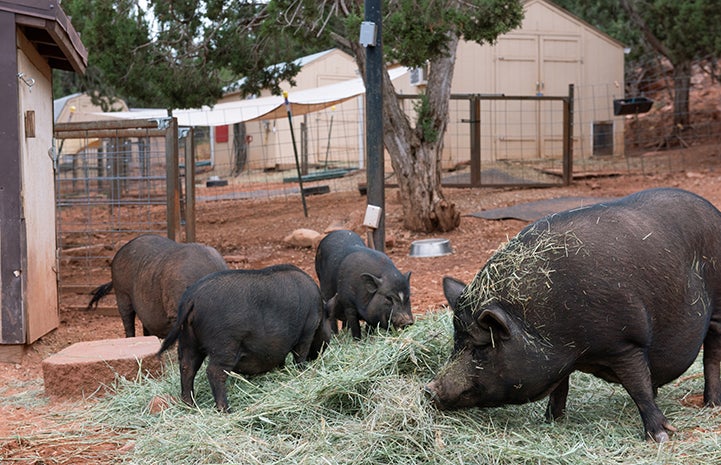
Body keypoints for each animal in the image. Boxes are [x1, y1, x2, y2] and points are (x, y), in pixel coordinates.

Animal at [158, 262, 332, 412]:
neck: (320, 312)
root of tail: (191, 298)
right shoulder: (307, 331)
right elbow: (299, 356)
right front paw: (303, 371)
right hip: (224, 343)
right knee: (214, 371)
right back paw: (226, 410)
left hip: (187, 338)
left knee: (187, 366)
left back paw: (190, 405)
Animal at [424, 188, 720, 442]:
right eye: (456, 342)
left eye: (482, 347)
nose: (429, 389)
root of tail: (713, 210)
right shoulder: (562, 360)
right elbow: (560, 390)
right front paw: (551, 421)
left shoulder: (625, 342)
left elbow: (639, 388)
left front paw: (660, 437)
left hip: (717, 308)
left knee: (712, 355)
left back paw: (712, 404)